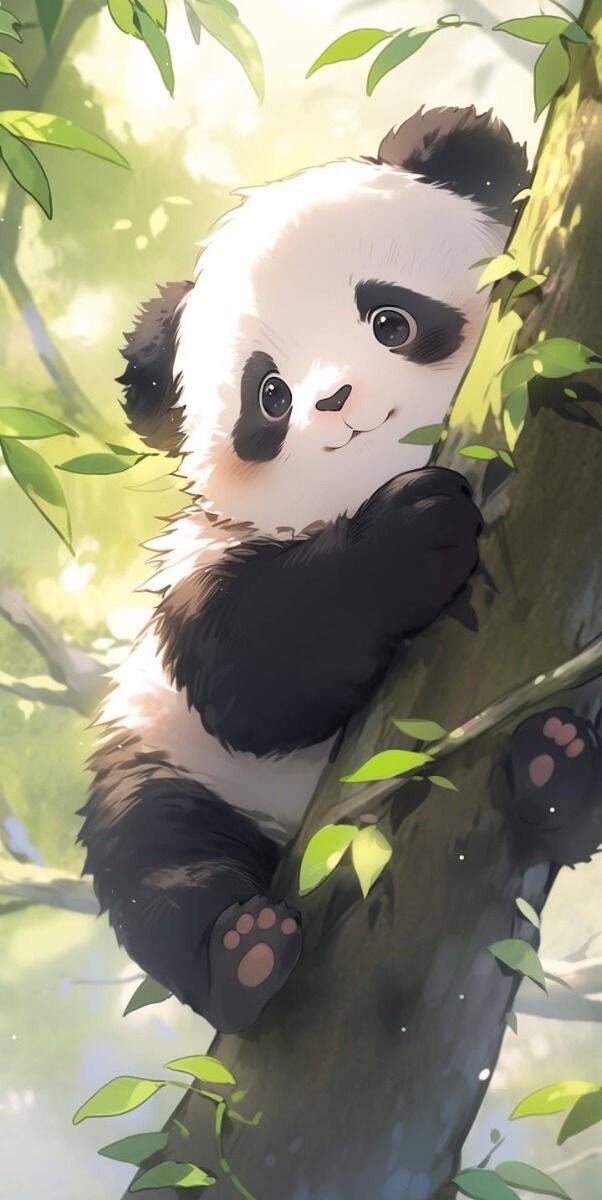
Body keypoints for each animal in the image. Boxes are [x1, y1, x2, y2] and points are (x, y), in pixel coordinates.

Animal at [80, 106, 599, 1034]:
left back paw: (557, 772)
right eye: (270, 396)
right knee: (156, 854)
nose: (334, 403)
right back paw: (241, 955)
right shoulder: (211, 562)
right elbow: (250, 672)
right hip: (169, 758)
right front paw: (414, 533)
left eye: (390, 320)